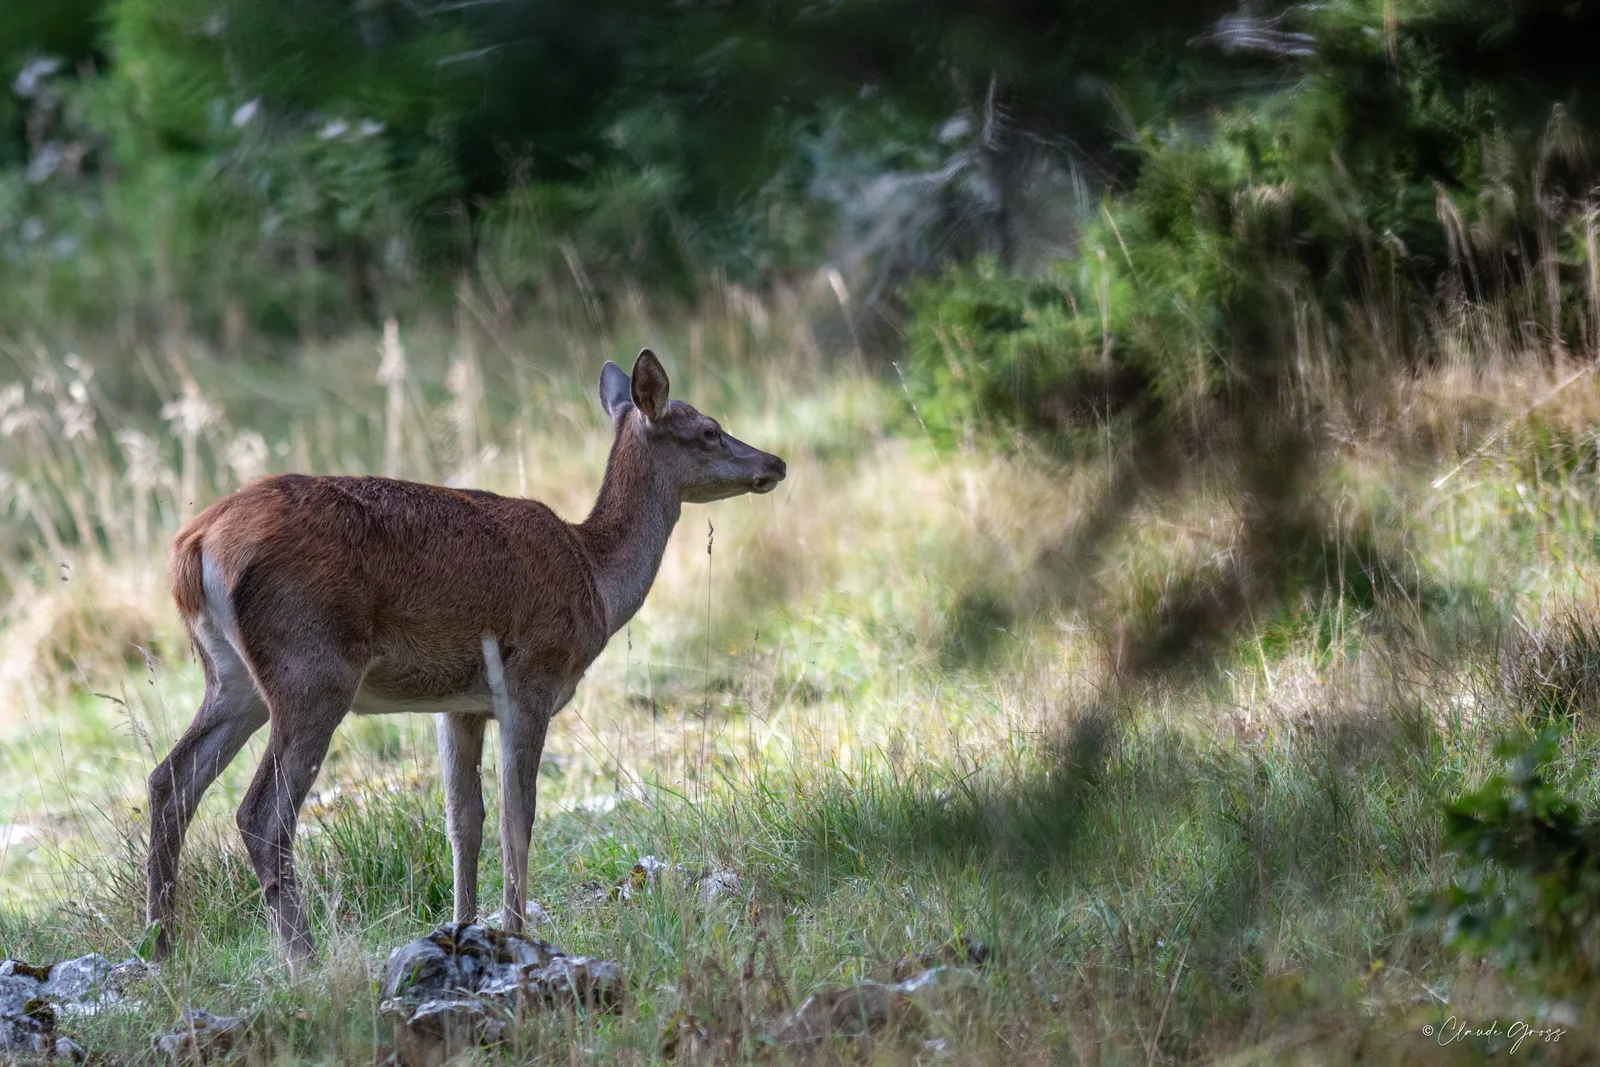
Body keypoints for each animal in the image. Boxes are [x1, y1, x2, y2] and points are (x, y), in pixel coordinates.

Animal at [146, 349, 786, 968]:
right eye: (709, 430)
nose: (775, 463)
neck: (595, 579)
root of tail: (193, 546)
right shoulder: (530, 680)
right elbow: (517, 816)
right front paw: (517, 932)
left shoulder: (458, 705)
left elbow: (463, 822)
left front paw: (464, 928)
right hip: (313, 666)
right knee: (262, 813)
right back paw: (303, 961)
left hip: (232, 677)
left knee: (168, 780)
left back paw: (162, 951)